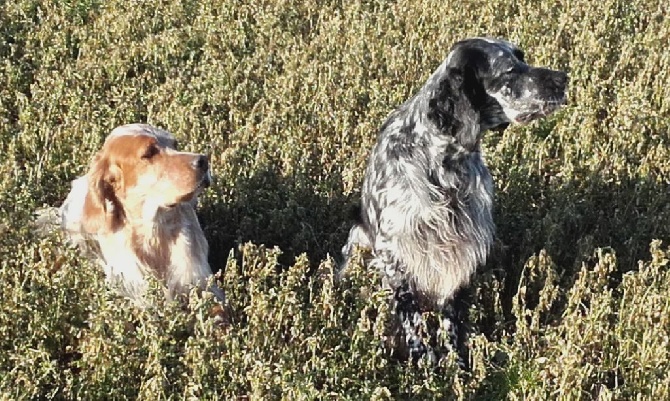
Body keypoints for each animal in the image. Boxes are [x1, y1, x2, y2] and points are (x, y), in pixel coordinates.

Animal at [344, 38, 568, 366]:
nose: (564, 78)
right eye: (509, 70)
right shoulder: (394, 251)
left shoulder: (463, 246)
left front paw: (457, 363)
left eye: (522, 58)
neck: (444, 163)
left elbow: (453, 317)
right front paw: (424, 363)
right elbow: (412, 319)